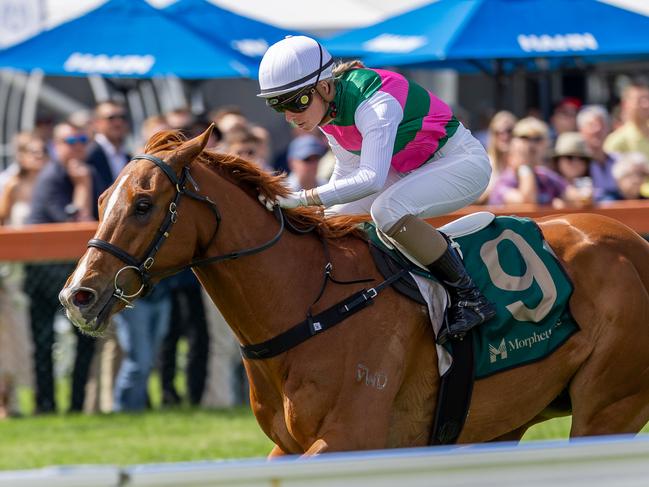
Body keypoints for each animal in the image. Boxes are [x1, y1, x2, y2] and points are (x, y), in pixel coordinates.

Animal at [59, 127, 648, 458]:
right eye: (103, 197)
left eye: (142, 204)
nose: (78, 295)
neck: (310, 306)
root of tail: (633, 244)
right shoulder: (288, 449)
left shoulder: (350, 438)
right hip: (502, 424)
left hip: (607, 411)